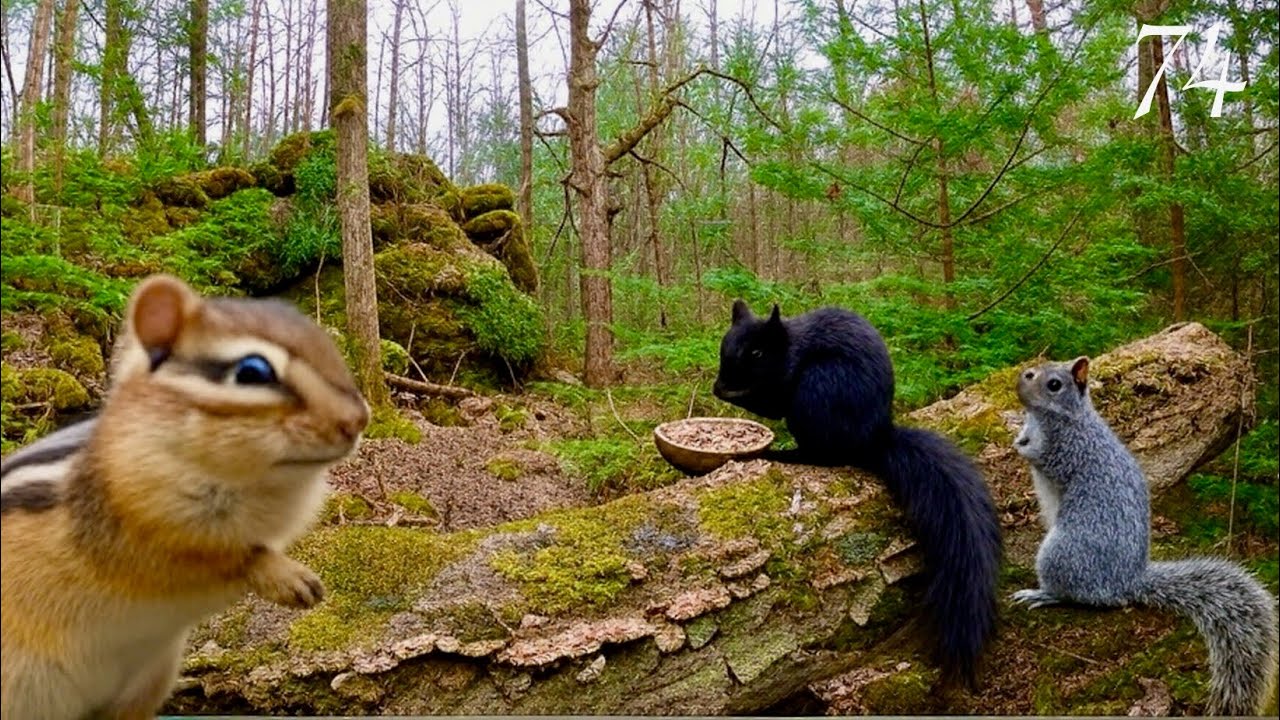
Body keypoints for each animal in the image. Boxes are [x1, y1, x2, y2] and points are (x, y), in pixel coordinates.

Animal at [713, 300, 1002, 688]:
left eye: (758, 352)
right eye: (725, 344)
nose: (722, 383)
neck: (789, 346)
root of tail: (873, 440)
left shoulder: (785, 380)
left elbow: (772, 401)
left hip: (818, 391)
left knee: (822, 454)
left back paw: (783, 454)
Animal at [1012, 356, 1279, 715]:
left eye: (1054, 384)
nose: (1020, 378)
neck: (1060, 418)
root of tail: (1128, 580)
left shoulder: (1071, 450)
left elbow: (1045, 458)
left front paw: (1023, 449)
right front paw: (1015, 429)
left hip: (1063, 553)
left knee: (1083, 596)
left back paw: (1044, 594)